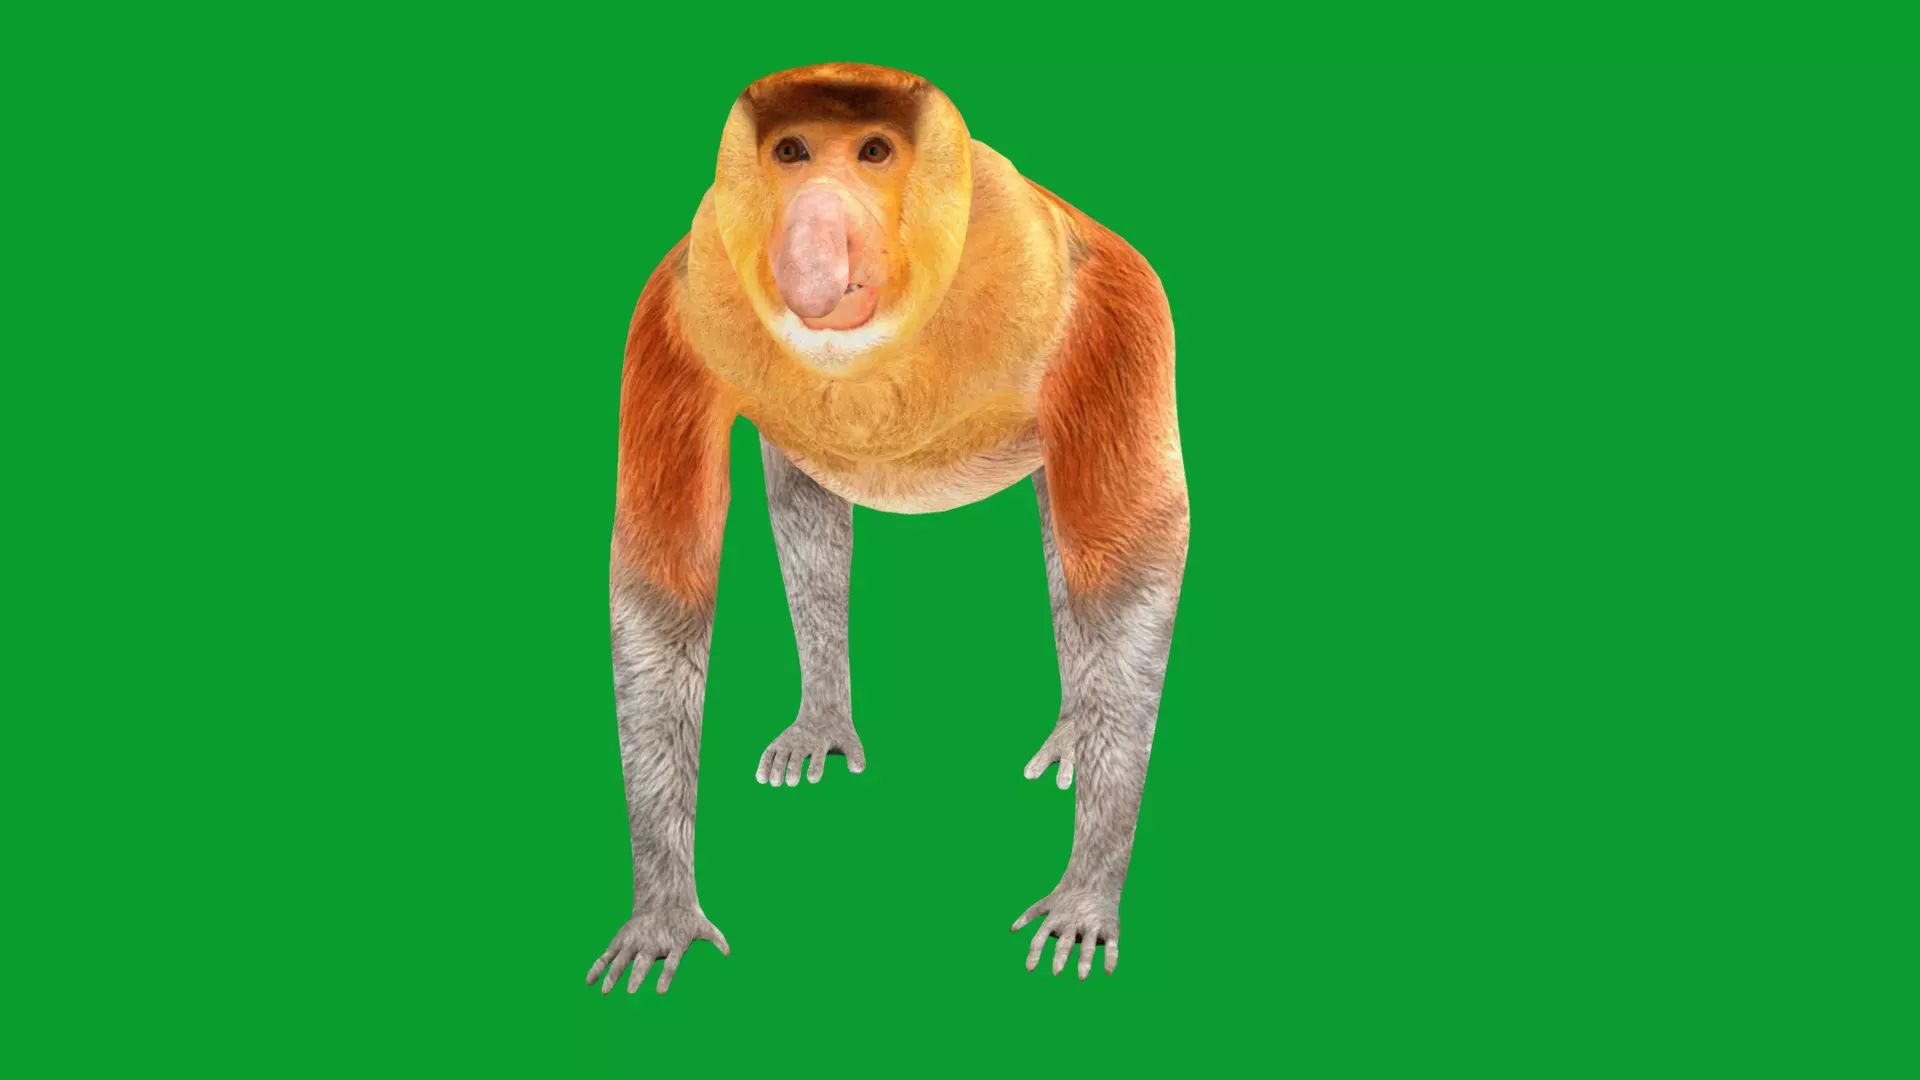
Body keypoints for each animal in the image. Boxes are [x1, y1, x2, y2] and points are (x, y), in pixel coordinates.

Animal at [585, 63, 1187, 995]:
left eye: (873, 151)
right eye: (792, 152)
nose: (817, 238)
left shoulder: (1098, 312)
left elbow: (1128, 574)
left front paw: (1085, 899)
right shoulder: (679, 312)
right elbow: (663, 587)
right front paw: (662, 917)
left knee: (1083, 535)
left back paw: (1078, 739)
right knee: (808, 503)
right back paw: (825, 727)